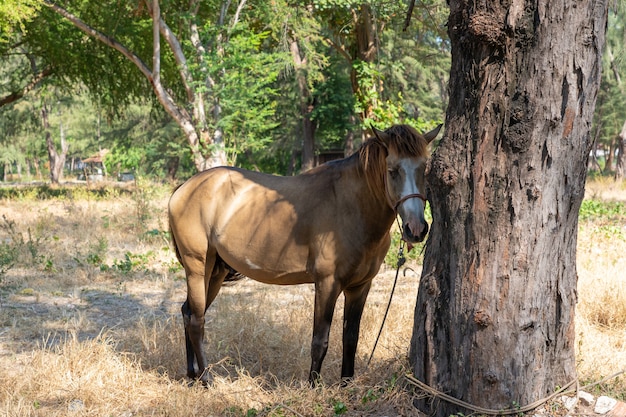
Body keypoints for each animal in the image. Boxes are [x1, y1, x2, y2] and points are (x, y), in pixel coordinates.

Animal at [166, 123, 438, 384]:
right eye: (392, 170)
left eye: (424, 169)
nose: (416, 229)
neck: (349, 206)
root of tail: (183, 188)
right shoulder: (327, 283)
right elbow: (320, 341)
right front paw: (313, 386)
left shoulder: (360, 287)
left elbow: (350, 338)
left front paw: (347, 384)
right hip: (197, 267)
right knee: (196, 320)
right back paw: (205, 379)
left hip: (215, 272)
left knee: (188, 312)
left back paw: (192, 375)